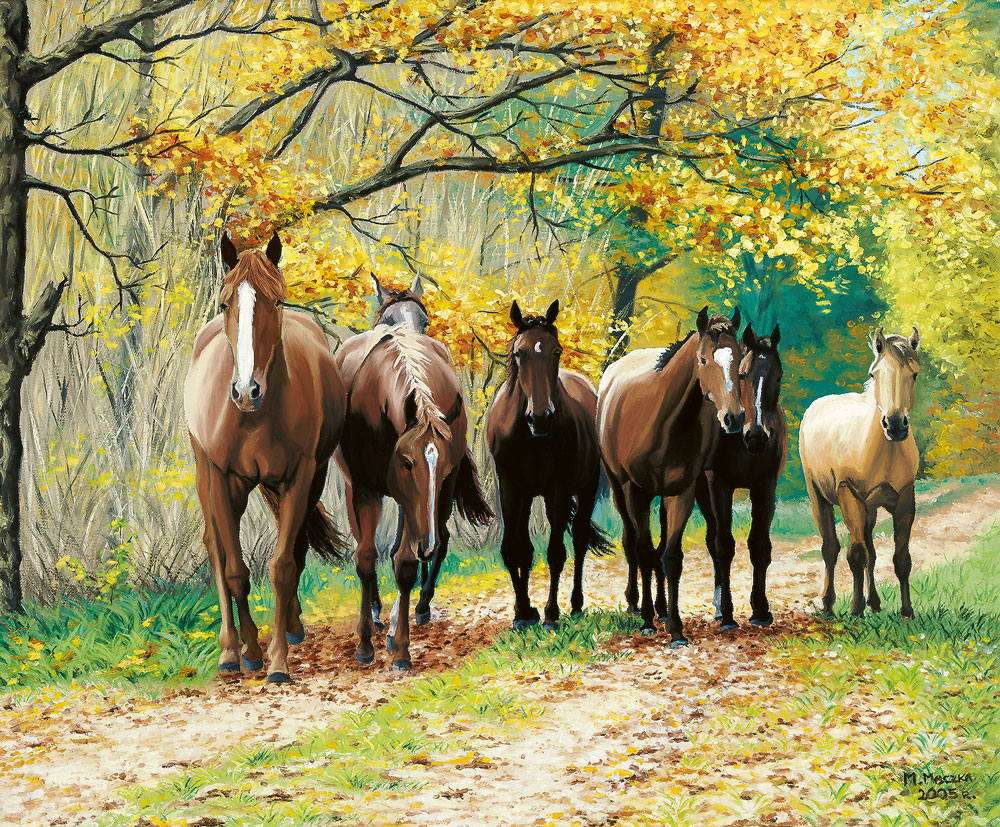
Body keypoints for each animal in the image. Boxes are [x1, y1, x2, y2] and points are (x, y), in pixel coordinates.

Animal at [185, 231, 348, 683]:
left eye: (277, 301)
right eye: (225, 303)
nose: (246, 391)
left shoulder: (302, 474)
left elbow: (282, 566)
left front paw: (277, 660)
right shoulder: (220, 476)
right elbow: (235, 570)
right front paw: (247, 653)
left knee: (295, 548)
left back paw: (287, 630)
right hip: (214, 480)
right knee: (216, 549)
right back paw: (232, 647)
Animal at [335, 326, 492, 668]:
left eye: (443, 469)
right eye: (408, 462)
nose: (426, 545)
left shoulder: (436, 493)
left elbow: (406, 562)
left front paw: (402, 649)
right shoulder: (364, 490)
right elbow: (366, 558)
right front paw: (365, 642)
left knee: (433, 541)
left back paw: (417, 608)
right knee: (368, 549)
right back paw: (377, 614)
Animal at [486, 300, 613, 630]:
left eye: (556, 351)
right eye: (520, 353)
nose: (540, 417)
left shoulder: (558, 489)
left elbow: (556, 552)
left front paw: (551, 614)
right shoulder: (512, 487)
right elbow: (514, 549)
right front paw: (522, 612)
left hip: (586, 487)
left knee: (579, 539)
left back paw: (576, 604)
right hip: (531, 494)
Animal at [598, 307, 745, 645]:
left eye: (740, 357)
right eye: (703, 360)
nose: (734, 418)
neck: (661, 421)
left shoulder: (681, 492)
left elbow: (671, 558)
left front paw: (675, 629)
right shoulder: (636, 491)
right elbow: (643, 551)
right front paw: (647, 621)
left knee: (663, 549)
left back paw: (663, 610)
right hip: (618, 488)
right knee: (632, 543)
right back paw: (636, 606)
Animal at [800, 326, 921, 618]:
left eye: (914, 373)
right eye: (873, 374)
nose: (895, 425)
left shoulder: (904, 500)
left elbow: (901, 558)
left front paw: (907, 611)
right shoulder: (849, 495)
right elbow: (855, 554)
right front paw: (855, 609)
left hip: (870, 510)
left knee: (872, 552)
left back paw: (874, 603)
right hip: (819, 497)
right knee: (831, 549)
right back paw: (828, 604)